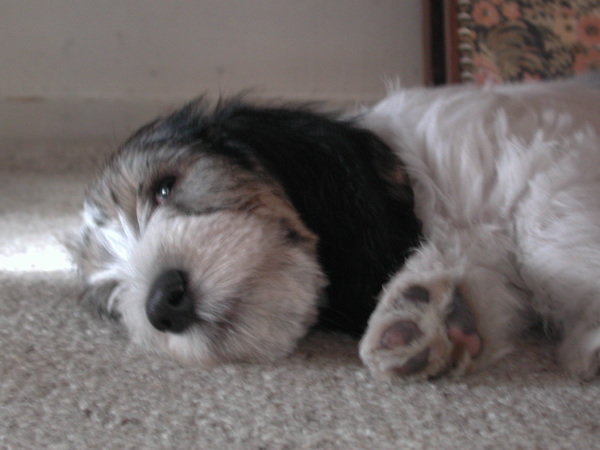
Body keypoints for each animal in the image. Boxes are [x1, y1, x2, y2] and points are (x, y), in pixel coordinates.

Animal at [72, 76, 600, 380]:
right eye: (113, 296)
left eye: (165, 188)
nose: (161, 303)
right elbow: (489, 292)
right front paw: (427, 319)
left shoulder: (548, 170)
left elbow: (548, 236)